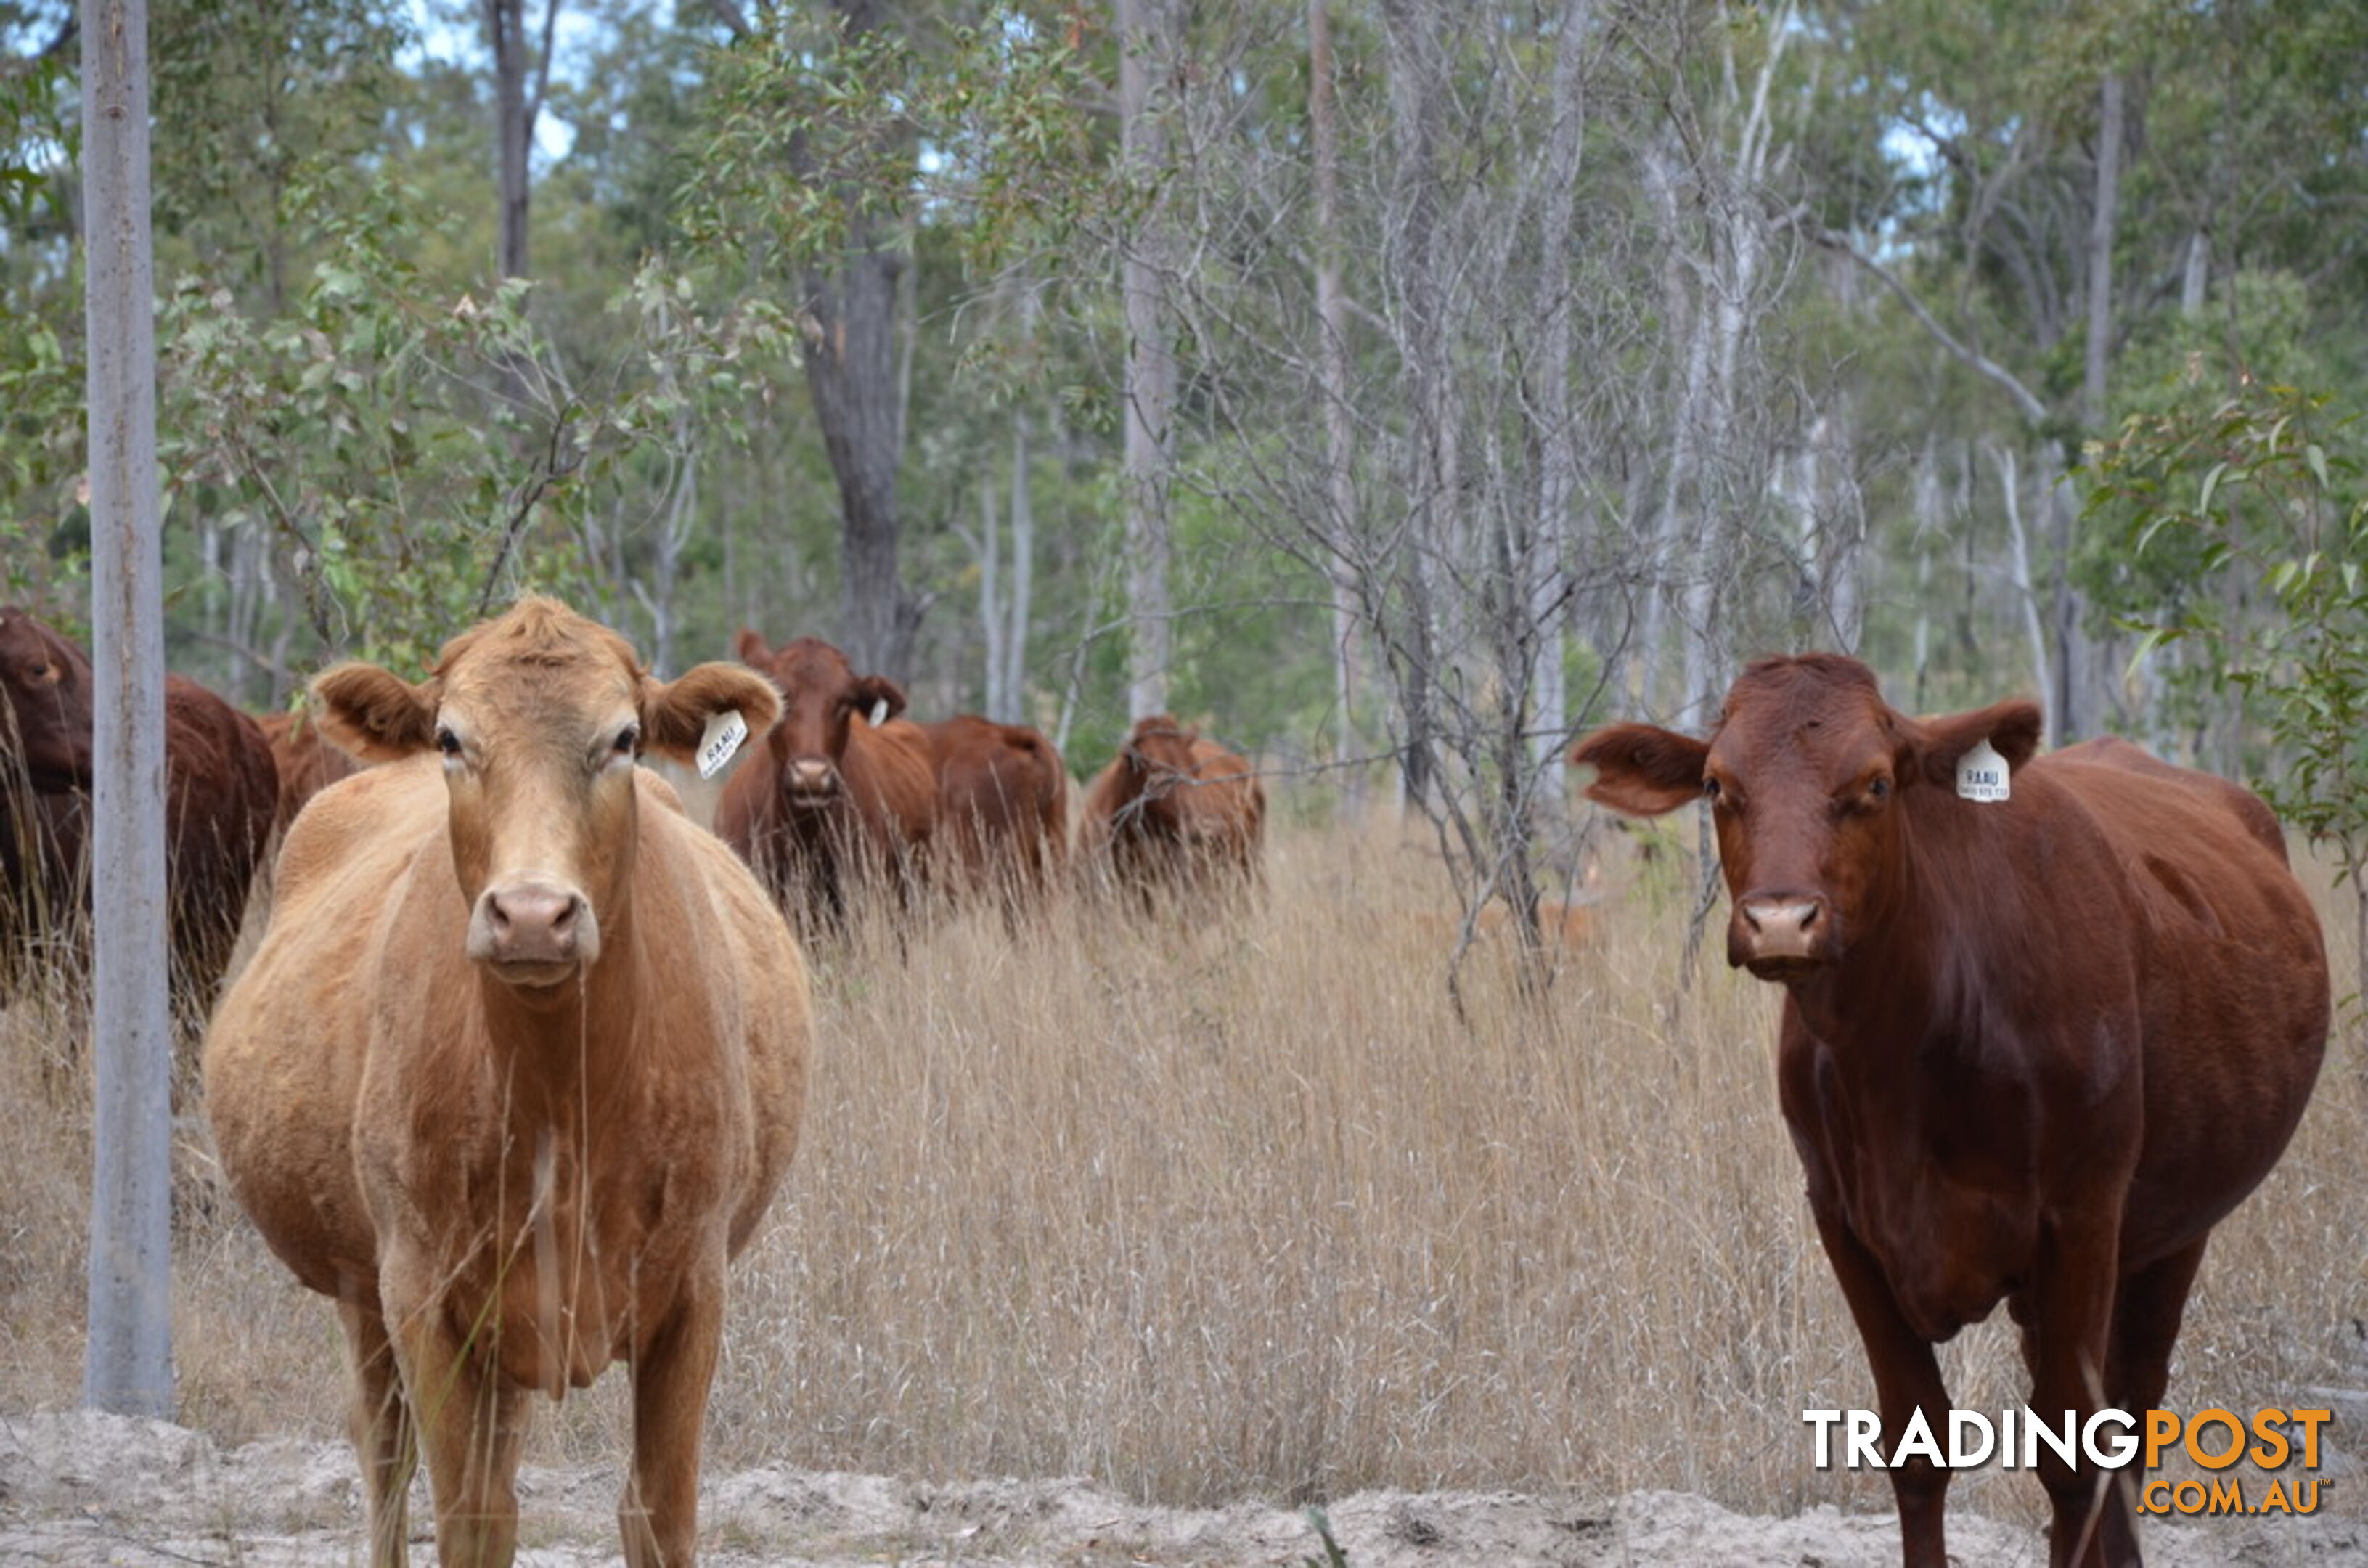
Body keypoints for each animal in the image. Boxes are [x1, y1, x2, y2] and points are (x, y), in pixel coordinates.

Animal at [1572, 649, 2330, 1568]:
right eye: (1717, 784)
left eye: (1874, 783)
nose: (1781, 921)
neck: (1903, 1059)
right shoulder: (1844, 1220)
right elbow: (1916, 1443)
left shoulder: (2081, 1216)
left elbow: (2074, 1455)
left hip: (2176, 1230)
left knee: (2129, 1410)